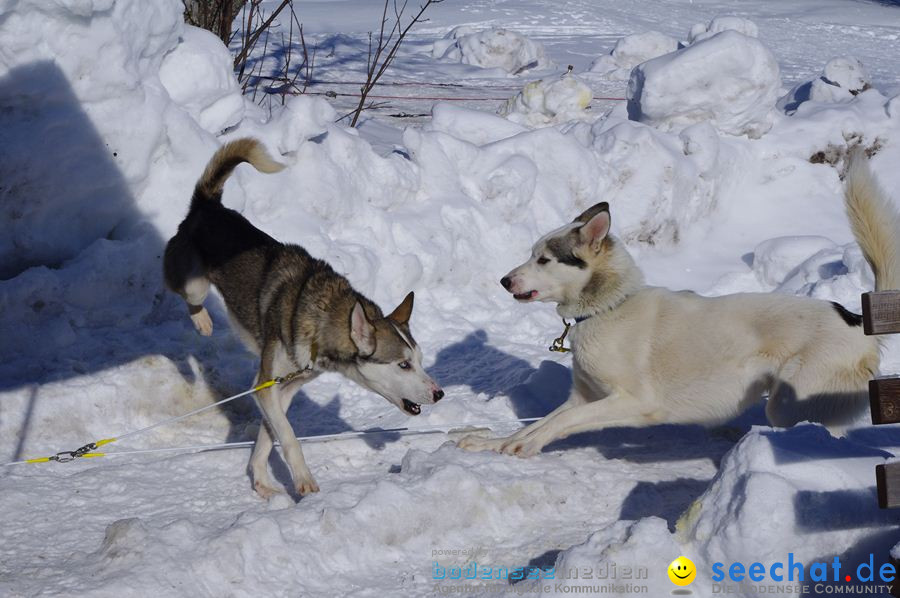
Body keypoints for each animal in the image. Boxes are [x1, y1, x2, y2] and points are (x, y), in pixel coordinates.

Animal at [166, 138, 446, 500]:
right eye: (403, 365)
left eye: (420, 360)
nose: (439, 393)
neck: (320, 320)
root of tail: (208, 207)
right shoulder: (265, 386)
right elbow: (288, 438)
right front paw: (303, 480)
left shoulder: (281, 390)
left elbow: (269, 435)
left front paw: (261, 479)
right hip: (195, 286)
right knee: (187, 296)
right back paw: (201, 321)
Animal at [460, 154, 896, 460]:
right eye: (531, 254)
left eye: (544, 259)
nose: (504, 280)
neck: (608, 308)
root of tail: (856, 318)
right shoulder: (583, 397)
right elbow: (538, 423)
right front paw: (497, 444)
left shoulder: (633, 402)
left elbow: (562, 422)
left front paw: (526, 447)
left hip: (789, 404)